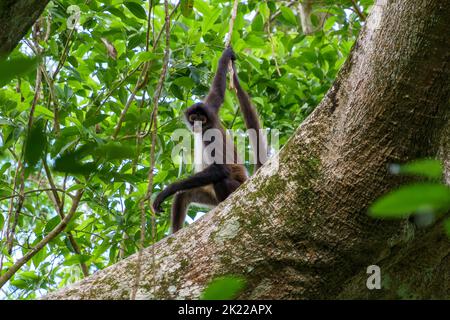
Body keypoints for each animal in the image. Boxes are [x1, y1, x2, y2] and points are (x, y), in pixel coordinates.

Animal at [154, 47, 268, 232]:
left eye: (202, 119)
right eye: (194, 117)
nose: (197, 124)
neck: (206, 127)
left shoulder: (210, 132)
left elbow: (221, 169)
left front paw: (168, 190)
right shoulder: (211, 107)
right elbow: (218, 90)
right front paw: (227, 55)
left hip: (234, 188)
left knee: (221, 179)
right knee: (183, 194)